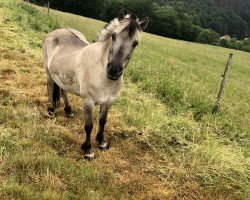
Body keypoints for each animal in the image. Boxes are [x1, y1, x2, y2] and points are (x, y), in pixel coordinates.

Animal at [42, 12, 148, 159]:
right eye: (114, 35)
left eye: (136, 43)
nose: (113, 70)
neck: (102, 74)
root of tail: (55, 32)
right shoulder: (88, 102)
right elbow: (89, 126)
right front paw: (88, 149)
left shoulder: (109, 102)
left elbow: (102, 121)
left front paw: (101, 142)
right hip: (49, 73)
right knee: (51, 87)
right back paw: (51, 111)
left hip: (63, 75)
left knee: (63, 90)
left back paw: (68, 111)